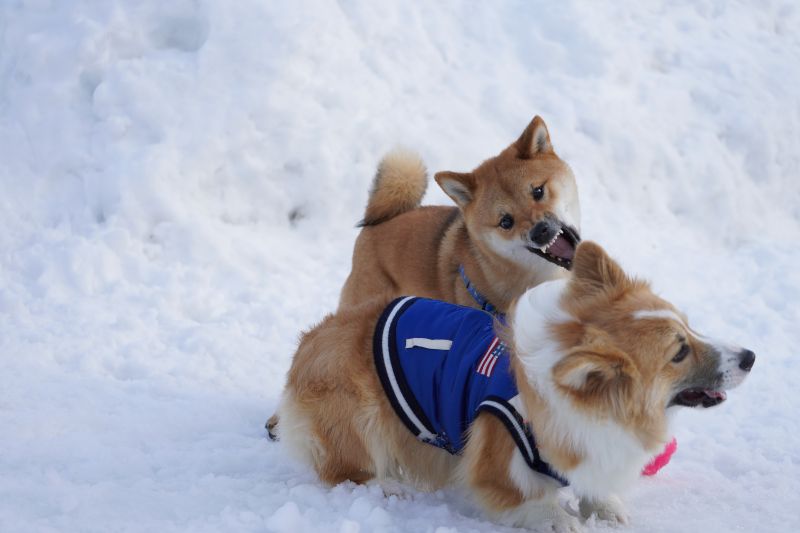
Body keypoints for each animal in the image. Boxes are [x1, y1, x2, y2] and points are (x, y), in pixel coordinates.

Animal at [278, 242, 752, 532]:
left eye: (690, 328)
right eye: (679, 353)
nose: (750, 356)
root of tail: (305, 346)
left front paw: (607, 508)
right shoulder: (496, 464)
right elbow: (534, 504)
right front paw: (563, 518)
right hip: (363, 418)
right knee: (343, 472)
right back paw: (390, 487)